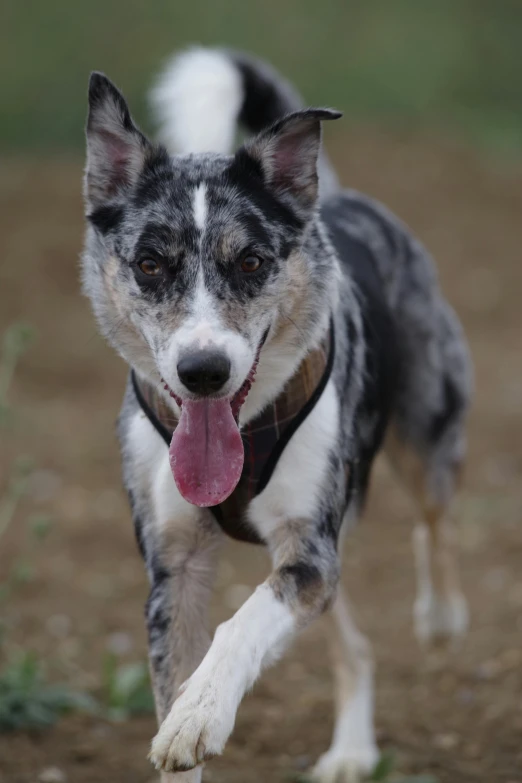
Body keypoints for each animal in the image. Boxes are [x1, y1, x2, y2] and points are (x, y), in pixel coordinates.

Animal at [80, 46, 472, 780]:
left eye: (252, 261)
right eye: (149, 264)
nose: (204, 370)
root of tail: (333, 196)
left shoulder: (310, 548)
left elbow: (241, 625)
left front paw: (201, 713)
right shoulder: (172, 571)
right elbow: (177, 693)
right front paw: (185, 724)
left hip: (424, 433)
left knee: (434, 523)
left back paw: (441, 616)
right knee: (355, 643)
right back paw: (352, 749)